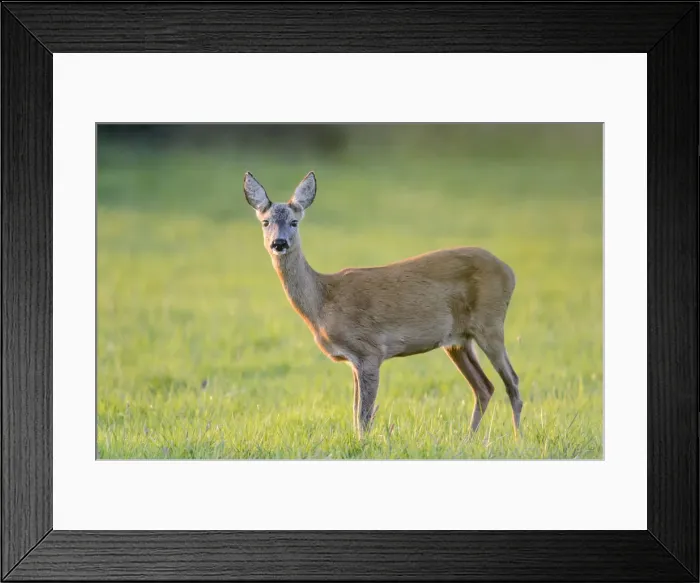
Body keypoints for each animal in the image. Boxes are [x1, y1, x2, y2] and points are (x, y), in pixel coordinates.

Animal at [243, 170, 523, 439]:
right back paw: (468, 439)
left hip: (490, 324)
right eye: (265, 222)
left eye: (294, 222)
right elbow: (355, 411)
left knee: (513, 382)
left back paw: (518, 439)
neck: (323, 301)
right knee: (484, 386)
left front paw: (363, 444)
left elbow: (363, 416)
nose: (279, 243)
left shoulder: (370, 350)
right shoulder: (353, 360)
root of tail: (510, 271)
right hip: (458, 340)